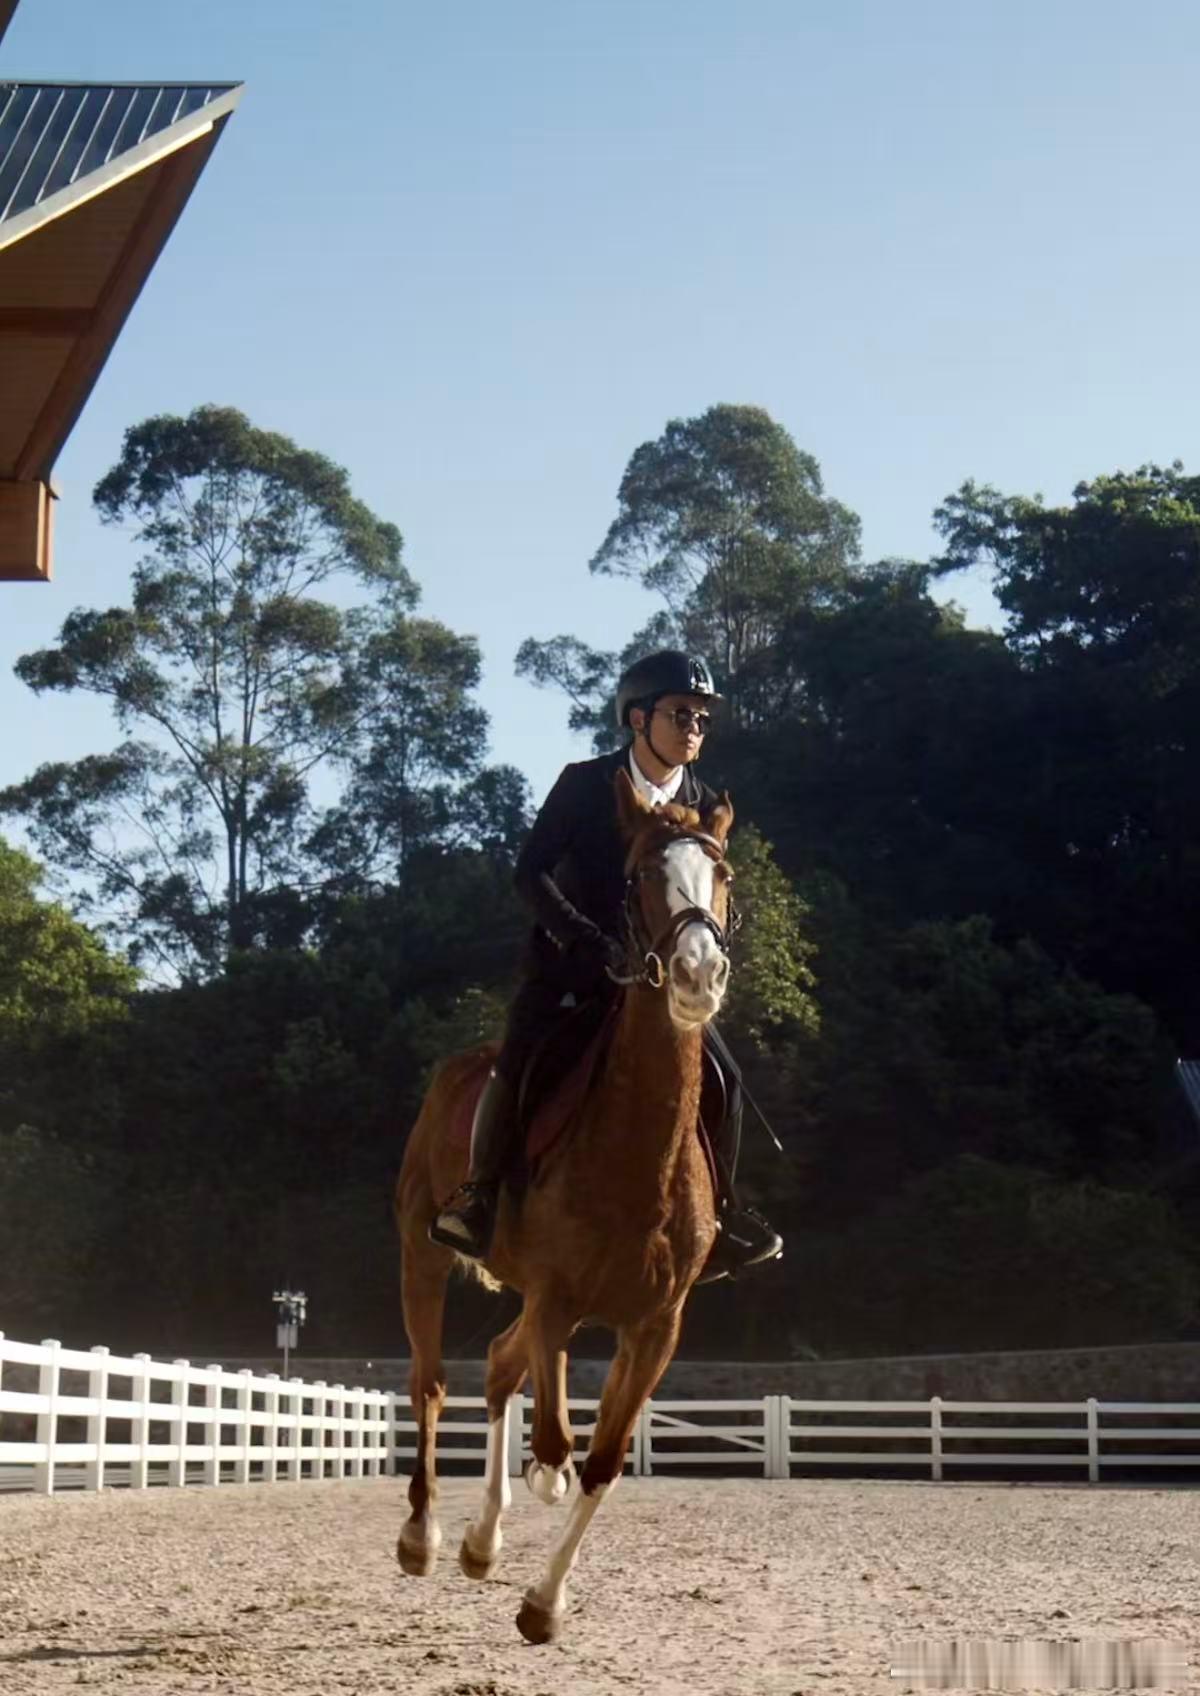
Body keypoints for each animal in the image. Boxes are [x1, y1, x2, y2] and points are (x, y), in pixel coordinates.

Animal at [393, 766, 736, 1644]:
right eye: (640, 875)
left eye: (721, 874)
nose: (697, 976)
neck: (638, 1155)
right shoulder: (556, 1298)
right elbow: (555, 1442)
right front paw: (526, 1501)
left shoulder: (655, 1325)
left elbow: (602, 1462)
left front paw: (543, 1603)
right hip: (423, 1252)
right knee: (433, 1382)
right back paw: (426, 1535)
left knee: (495, 1366)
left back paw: (481, 1543)